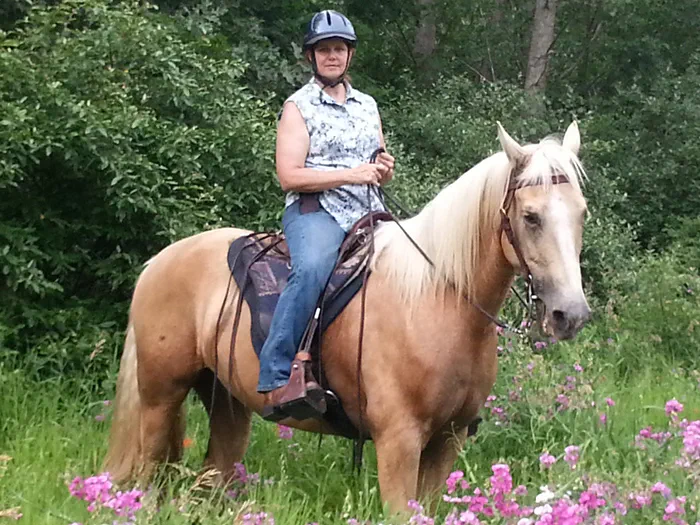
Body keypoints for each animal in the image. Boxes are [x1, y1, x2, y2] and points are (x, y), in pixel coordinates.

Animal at [103, 122, 591, 513]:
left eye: (581, 212)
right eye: (530, 216)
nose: (570, 314)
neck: (437, 300)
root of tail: (159, 262)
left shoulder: (446, 442)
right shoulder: (398, 442)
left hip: (226, 401)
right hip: (160, 397)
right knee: (147, 475)